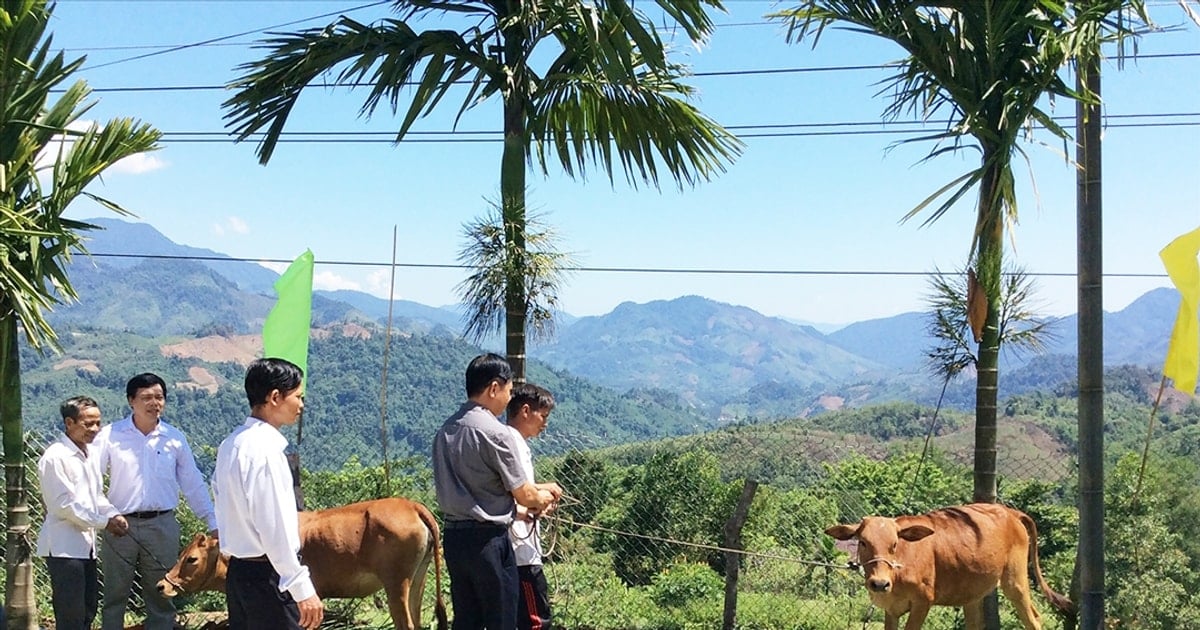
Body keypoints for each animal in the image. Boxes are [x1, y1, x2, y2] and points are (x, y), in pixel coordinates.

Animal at [830, 501, 1075, 628]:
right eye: (863, 542)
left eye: (894, 544)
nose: (879, 584)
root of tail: (1010, 512)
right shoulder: (891, 609)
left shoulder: (922, 602)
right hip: (974, 593)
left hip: (1015, 581)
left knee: (1033, 618)